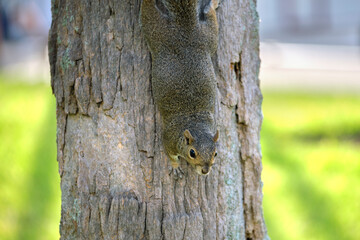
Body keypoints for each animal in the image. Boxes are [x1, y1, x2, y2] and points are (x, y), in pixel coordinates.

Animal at [141, 0, 219, 178]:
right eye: (192, 153)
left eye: (215, 153)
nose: (205, 171)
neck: (195, 123)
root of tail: (185, 30)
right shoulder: (169, 139)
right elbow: (171, 155)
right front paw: (175, 167)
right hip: (155, 29)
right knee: (147, 10)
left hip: (208, 37)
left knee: (210, 18)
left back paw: (213, 3)